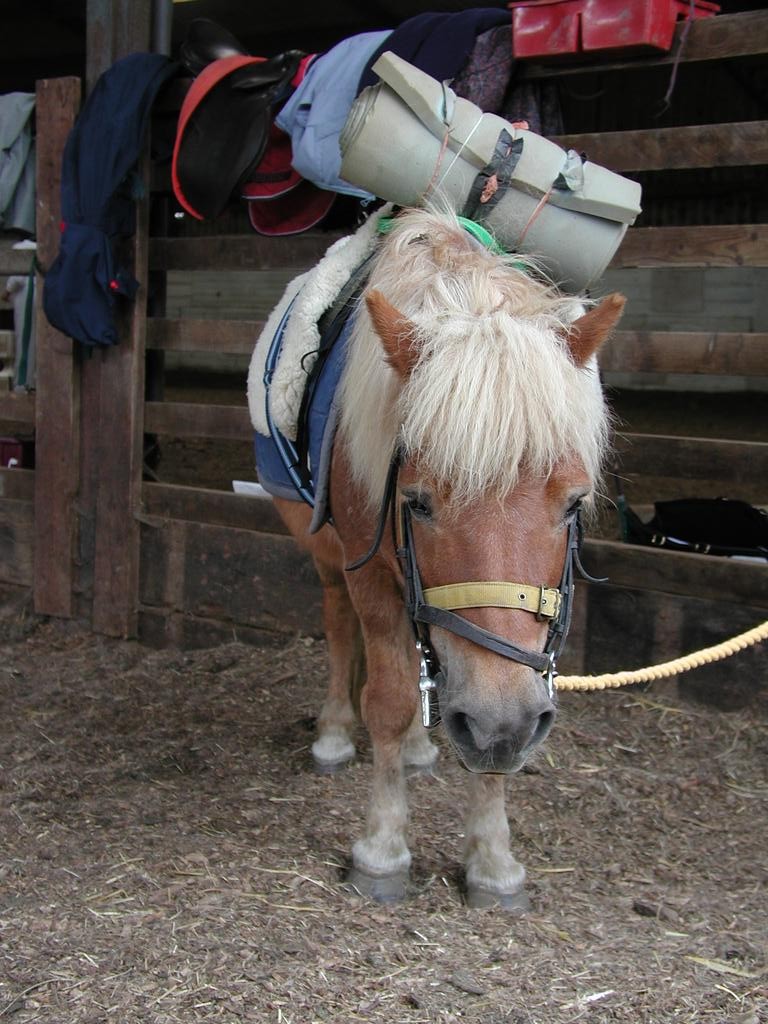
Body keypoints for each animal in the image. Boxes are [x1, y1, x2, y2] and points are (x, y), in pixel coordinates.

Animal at [270, 205, 626, 905]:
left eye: (573, 504)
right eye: (417, 501)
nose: (498, 722)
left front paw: (492, 857)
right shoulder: (370, 572)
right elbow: (387, 699)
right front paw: (382, 850)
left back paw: (416, 750)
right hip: (327, 554)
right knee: (341, 629)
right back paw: (335, 734)